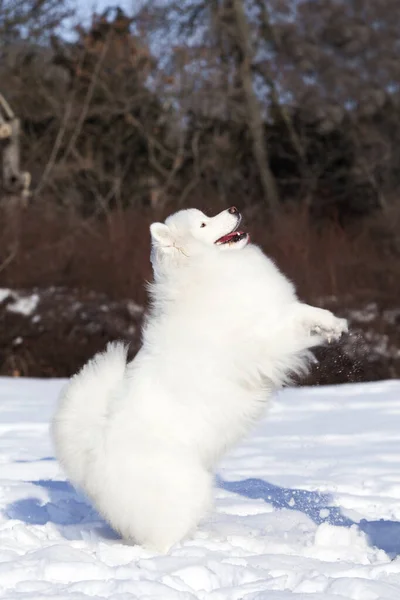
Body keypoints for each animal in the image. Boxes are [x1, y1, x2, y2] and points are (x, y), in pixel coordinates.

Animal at [52, 207, 346, 552]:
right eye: (204, 223)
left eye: (207, 214)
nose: (233, 208)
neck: (207, 271)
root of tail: (90, 453)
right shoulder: (264, 337)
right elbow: (297, 318)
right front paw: (329, 323)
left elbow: (304, 314)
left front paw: (334, 327)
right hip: (184, 490)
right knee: (162, 538)